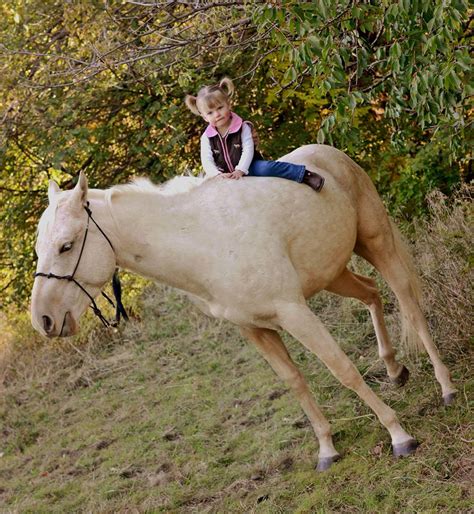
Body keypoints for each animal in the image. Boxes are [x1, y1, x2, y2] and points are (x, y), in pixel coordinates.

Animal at [29, 143, 456, 468]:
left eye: (66, 246)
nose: (44, 320)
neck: (203, 243)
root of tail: (329, 152)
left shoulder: (294, 312)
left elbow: (343, 370)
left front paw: (399, 435)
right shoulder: (256, 329)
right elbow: (295, 382)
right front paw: (327, 450)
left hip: (376, 241)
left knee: (408, 303)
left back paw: (446, 387)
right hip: (334, 272)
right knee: (371, 293)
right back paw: (393, 368)